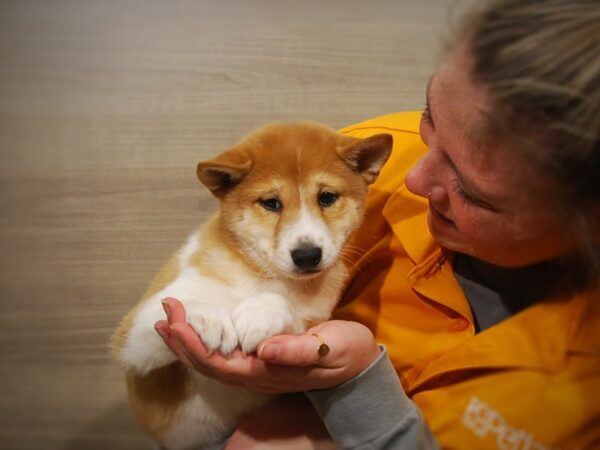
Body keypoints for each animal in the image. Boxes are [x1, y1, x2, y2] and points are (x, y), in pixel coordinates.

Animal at [111, 121, 394, 448]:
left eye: (326, 198)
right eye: (271, 203)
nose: (307, 255)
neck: (260, 276)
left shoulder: (312, 318)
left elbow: (284, 308)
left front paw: (260, 314)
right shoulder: (132, 337)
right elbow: (178, 306)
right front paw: (211, 319)